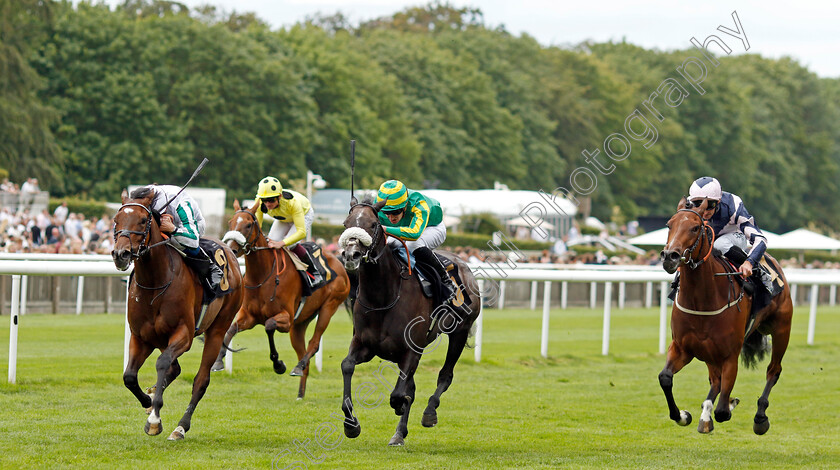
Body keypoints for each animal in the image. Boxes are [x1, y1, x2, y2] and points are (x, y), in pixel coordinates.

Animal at [111, 189, 243, 438]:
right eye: (116, 220)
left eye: (142, 220)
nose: (120, 254)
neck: (154, 283)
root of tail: (230, 251)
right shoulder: (141, 337)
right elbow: (129, 376)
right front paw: (148, 401)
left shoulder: (184, 334)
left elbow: (162, 363)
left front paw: (154, 419)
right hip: (161, 339)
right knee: (175, 368)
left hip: (217, 329)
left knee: (200, 380)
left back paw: (181, 427)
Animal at [217, 200, 352, 398]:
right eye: (230, 223)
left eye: (248, 225)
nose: (231, 249)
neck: (262, 275)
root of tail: (338, 261)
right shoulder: (249, 317)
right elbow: (231, 329)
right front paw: (219, 361)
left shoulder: (286, 319)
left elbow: (269, 326)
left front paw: (278, 364)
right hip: (300, 324)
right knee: (304, 355)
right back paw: (300, 393)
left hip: (329, 307)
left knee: (314, 343)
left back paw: (298, 366)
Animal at [334, 196, 480, 446]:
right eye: (346, 224)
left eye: (373, 224)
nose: (351, 255)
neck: (384, 296)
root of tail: (463, 264)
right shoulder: (365, 345)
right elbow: (347, 366)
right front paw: (351, 425)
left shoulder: (411, 350)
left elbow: (398, 394)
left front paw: (399, 406)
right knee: (412, 385)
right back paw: (399, 433)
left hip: (459, 332)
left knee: (445, 375)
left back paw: (429, 412)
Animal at [660, 196, 792, 436]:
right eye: (669, 225)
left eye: (695, 228)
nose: (670, 256)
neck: (703, 300)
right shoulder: (682, 347)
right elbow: (665, 378)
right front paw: (684, 415)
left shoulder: (730, 355)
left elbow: (723, 410)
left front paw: (728, 404)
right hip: (709, 352)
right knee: (715, 380)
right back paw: (705, 415)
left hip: (781, 329)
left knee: (773, 370)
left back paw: (760, 417)